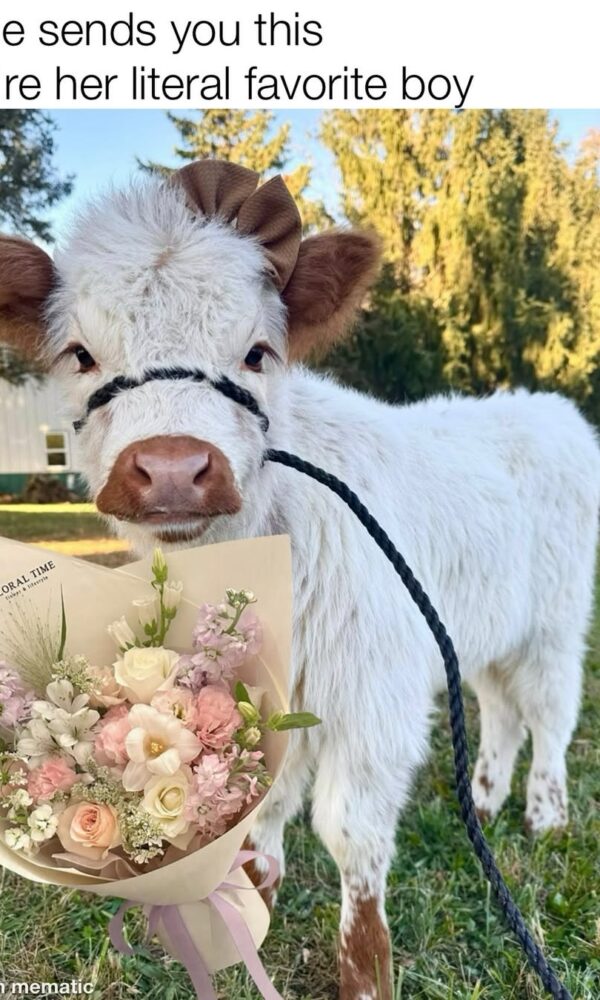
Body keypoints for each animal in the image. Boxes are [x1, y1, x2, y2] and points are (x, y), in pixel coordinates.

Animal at [1, 160, 598, 1000]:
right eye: (80, 355)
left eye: (258, 352)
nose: (173, 469)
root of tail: (540, 407)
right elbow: (269, 799)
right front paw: (256, 890)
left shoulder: (373, 694)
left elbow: (349, 830)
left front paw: (366, 968)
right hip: (480, 626)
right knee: (500, 708)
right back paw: (482, 796)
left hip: (555, 621)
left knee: (549, 712)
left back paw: (545, 811)